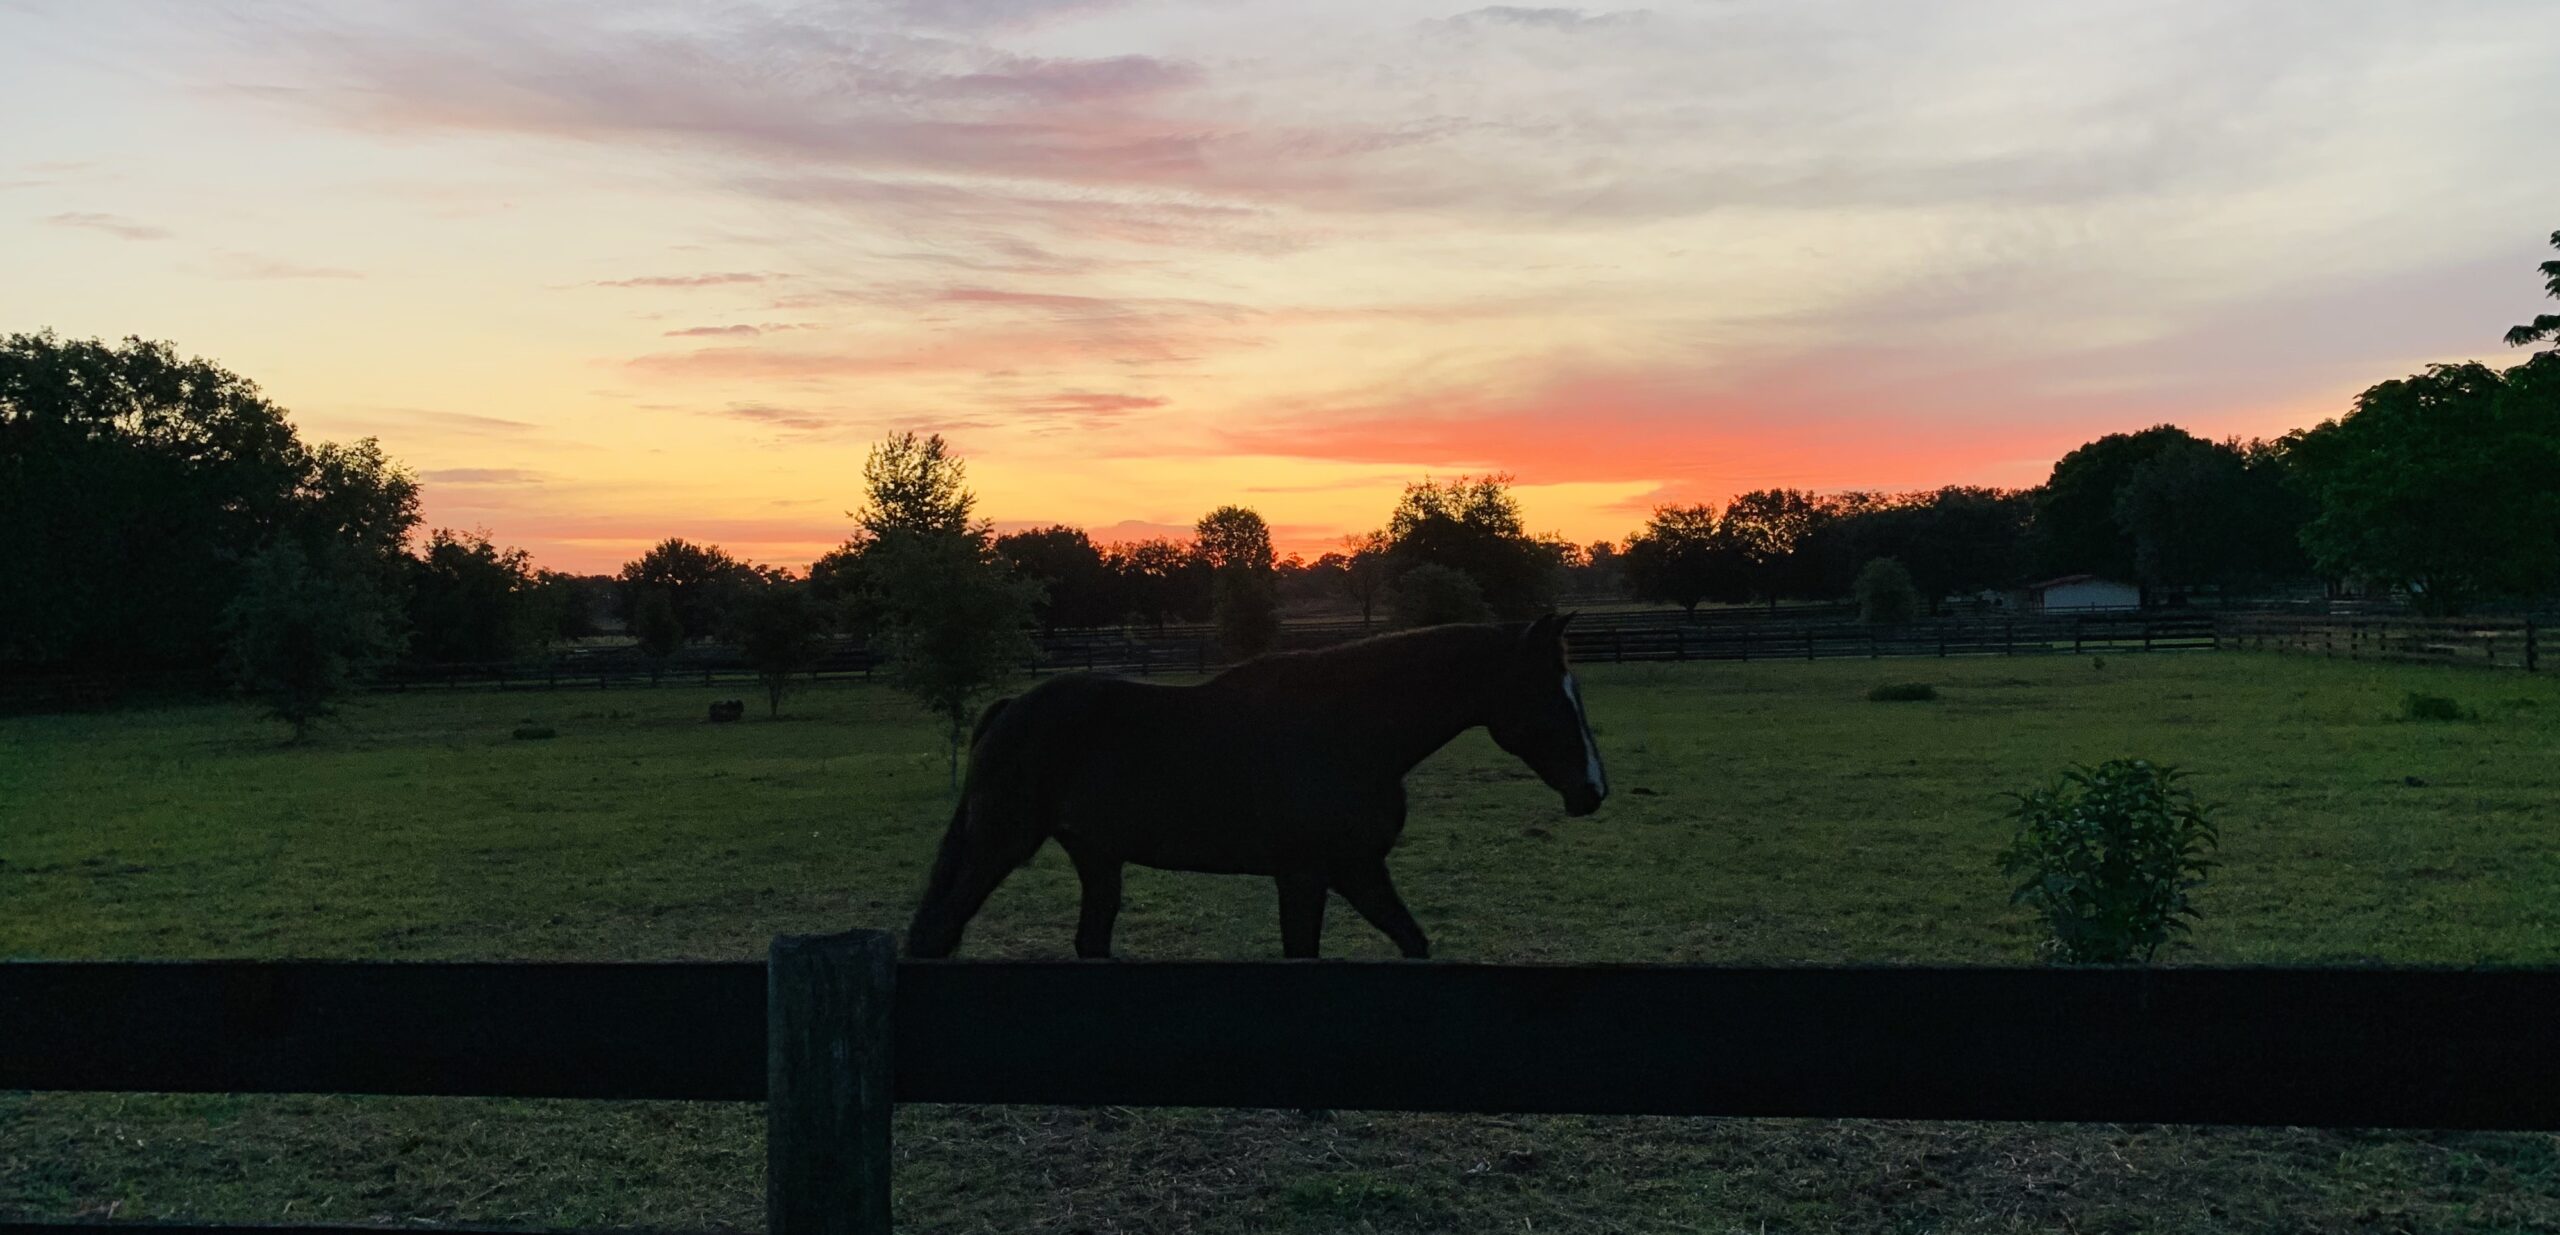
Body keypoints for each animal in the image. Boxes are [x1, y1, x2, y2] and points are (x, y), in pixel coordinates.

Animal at [903, 612, 1609, 960]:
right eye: (1551, 695)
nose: (1593, 789)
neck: (1350, 731)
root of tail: (1010, 708)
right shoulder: (1308, 874)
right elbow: (1303, 956)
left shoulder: (1354, 870)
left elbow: (1413, 942)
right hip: (999, 847)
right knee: (938, 932)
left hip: (1095, 857)